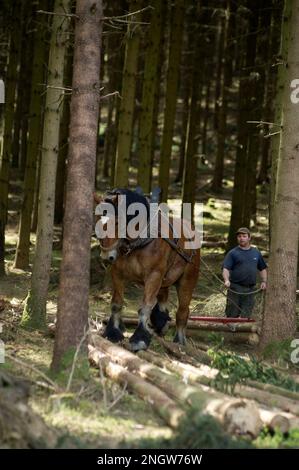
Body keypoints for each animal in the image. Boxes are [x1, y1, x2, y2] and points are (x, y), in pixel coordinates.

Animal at [95, 189, 200, 350]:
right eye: (98, 222)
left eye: (118, 222)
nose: (106, 257)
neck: (138, 242)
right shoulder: (117, 273)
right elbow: (116, 303)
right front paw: (112, 332)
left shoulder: (154, 275)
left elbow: (145, 307)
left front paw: (139, 338)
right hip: (164, 280)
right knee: (163, 299)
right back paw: (161, 323)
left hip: (187, 280)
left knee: (182, 311)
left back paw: (180, 341)